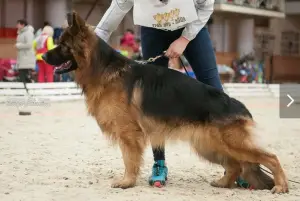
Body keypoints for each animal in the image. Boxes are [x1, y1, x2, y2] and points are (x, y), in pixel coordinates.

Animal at [42, 12, 288, 193]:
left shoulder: (128, 134)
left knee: (271, 158)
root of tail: (240, 107)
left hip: (230, 144)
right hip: (209, 146)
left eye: (63, 45)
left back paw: (280, 186)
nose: (43, 56)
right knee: (236, 165)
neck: (102, 68)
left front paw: (126, 182)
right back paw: (224, 183)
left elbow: (129, 160)